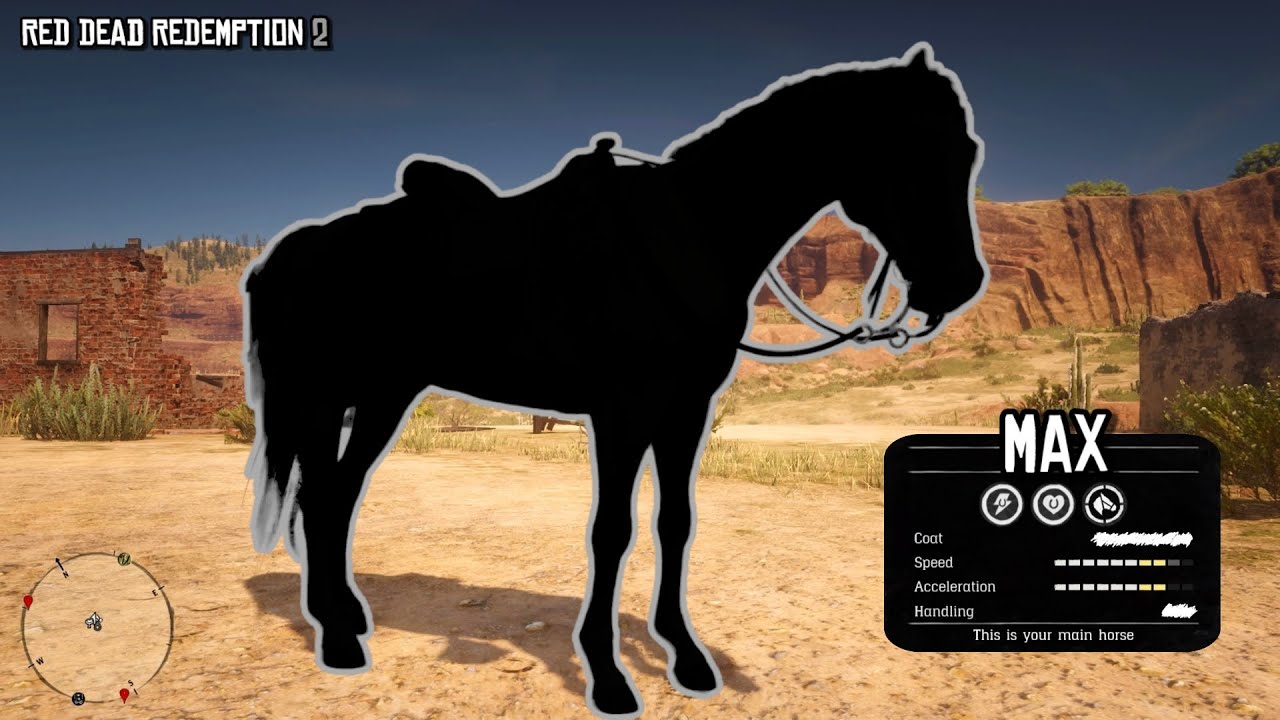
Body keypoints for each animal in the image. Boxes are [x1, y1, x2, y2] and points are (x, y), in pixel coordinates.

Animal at [240, 41, 986, 718]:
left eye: (968, 151)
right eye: (910, 149)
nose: (961, 283)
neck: (688, 235)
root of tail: (285, 252)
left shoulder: (686, 412)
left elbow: (675, 523)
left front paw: (687, 658)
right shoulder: (623, 414)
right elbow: (612, 531)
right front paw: (607, 676)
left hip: (380, 396)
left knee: (335, 498)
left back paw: (345, 622)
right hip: (323, 398)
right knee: (323, 498)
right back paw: (337, 640)